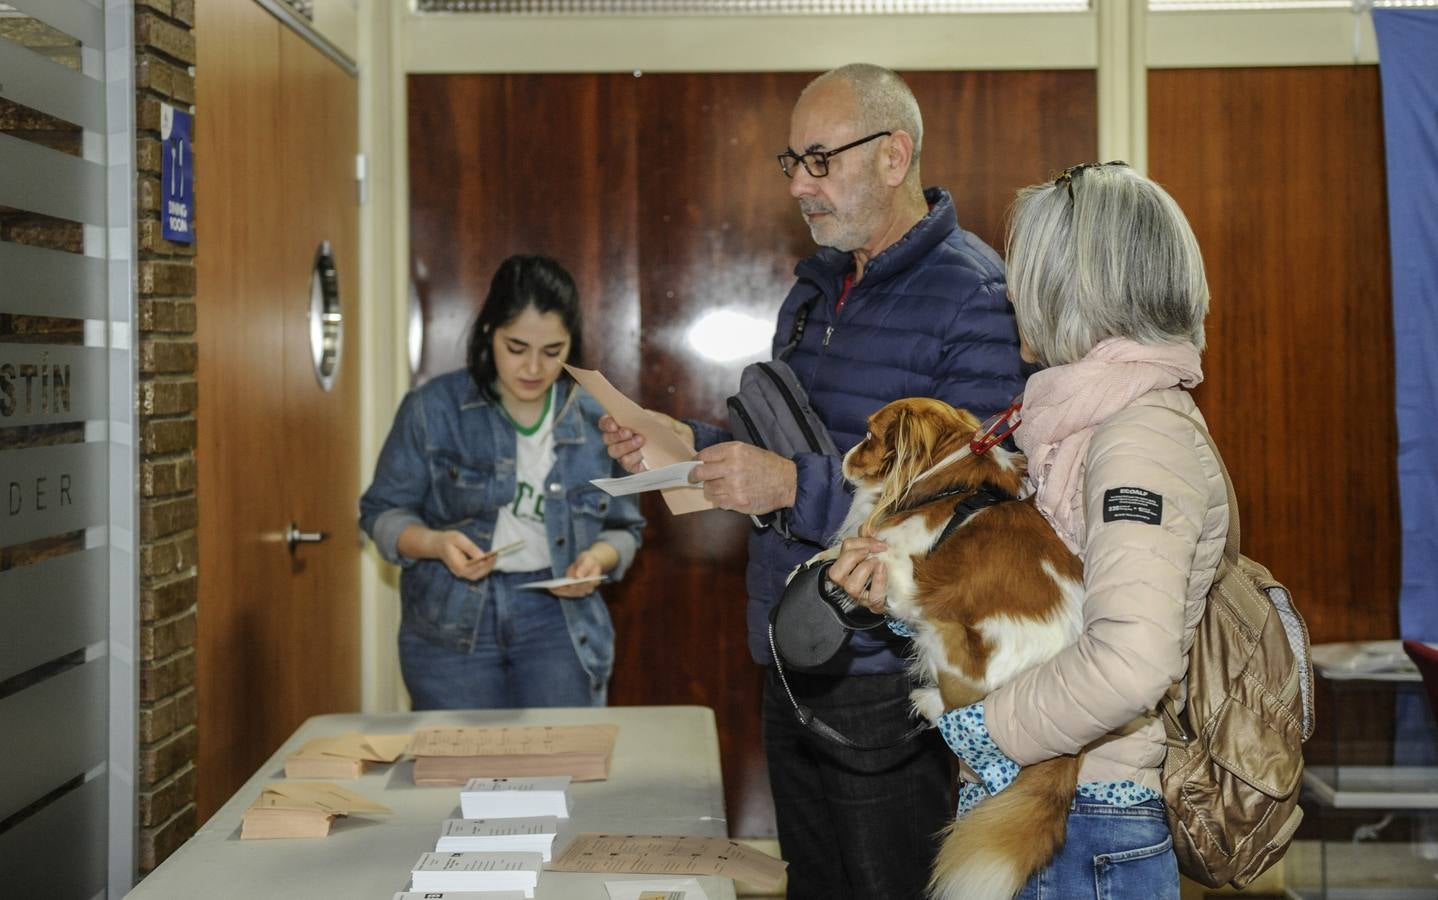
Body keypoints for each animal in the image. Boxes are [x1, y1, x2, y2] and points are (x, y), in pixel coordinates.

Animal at [834, 396, 1081, 897]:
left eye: (869, 437)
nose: (842, 457)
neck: (948, 479)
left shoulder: (903, 571)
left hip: (945, 632)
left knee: (951, 701)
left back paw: (928, 701)